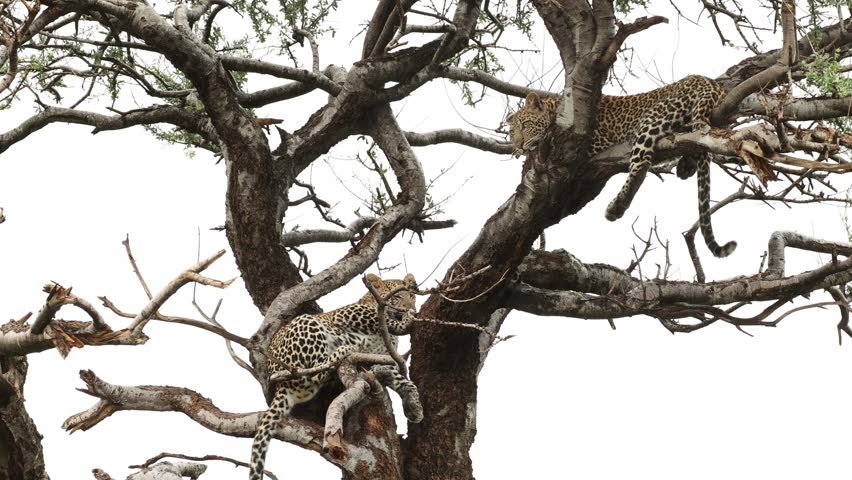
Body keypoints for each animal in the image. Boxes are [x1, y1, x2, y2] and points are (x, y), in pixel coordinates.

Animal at [249, 273, 423, 480]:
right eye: (396, 297)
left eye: (412, 296)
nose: (412, 308)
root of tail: (280, 386)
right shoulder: (345, 314)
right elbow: (381, 318)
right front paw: (405, 320)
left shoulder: (383, 360)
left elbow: (406, 382)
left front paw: (415, 408)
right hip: (305, 324)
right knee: (316, 370)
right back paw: (344, 350)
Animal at [506, 75, 736, 258]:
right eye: (511, 132)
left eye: (525, 126)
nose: (518, 145)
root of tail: (706, 81)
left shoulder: (592, 142)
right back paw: (685, 166)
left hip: (652, 119)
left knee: (641, 165)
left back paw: (617, 206)